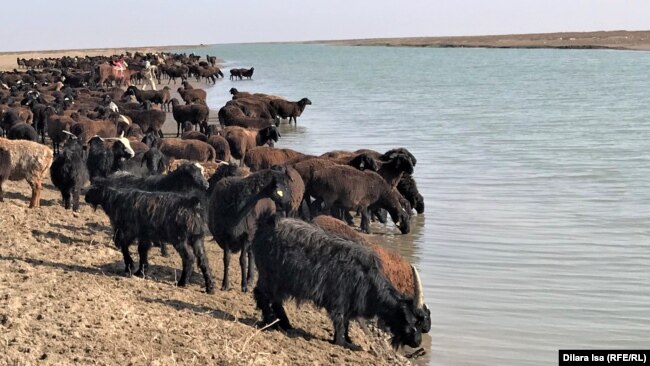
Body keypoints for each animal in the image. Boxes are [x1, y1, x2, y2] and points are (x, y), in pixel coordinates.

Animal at [83, 184, 214, 294]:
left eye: (94, 190)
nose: (85, 197)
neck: (116, 200)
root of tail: (191, 203)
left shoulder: (131, 230)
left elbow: (125, 247)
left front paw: (130, 266)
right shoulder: (144, 235)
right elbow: (142, 251)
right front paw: (140, 271)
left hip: (180, 239)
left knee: (189, 258)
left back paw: (182, 282)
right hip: (197, 239)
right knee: (203, 261)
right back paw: (210, 287)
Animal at [251, 213, 422, 350]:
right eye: (412, 323)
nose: (418, 342)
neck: (367, 279)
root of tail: (266, 224)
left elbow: (346, 324)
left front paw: (348, 339)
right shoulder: (338, 302)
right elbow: (340, 325)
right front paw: (346, 343)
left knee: (276, 301)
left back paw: (286, 324)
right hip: (269, 277)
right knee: (262, 295)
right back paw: (270, 321)